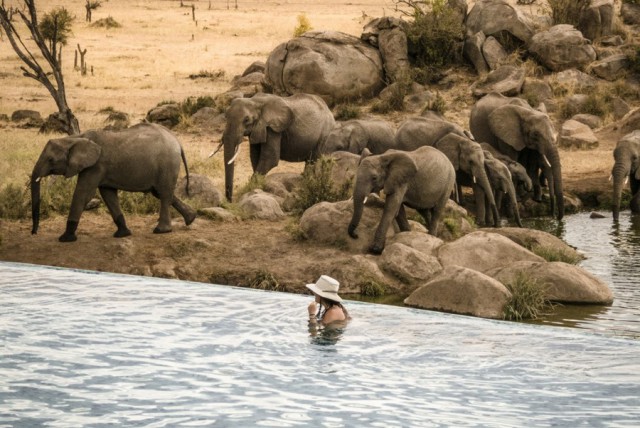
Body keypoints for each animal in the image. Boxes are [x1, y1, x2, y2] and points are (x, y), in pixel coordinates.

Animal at [31, 123, 196, 242]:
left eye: (51, 160)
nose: (34, 232)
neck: (75, 138)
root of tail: (177, 141)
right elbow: (108, 195)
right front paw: (123, 234)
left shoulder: (96, 165)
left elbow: (84, 193)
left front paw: (65, 238)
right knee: (160, 192)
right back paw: (191, 218)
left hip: (167, 163)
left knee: (164, 193)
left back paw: (161, 231)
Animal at [468, 93, 564, 221]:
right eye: (536, 134)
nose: (556, 217)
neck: (529, 112)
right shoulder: (506, 135)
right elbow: (513, 157)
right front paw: (519, 197)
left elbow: (527, 161)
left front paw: (526, 194)